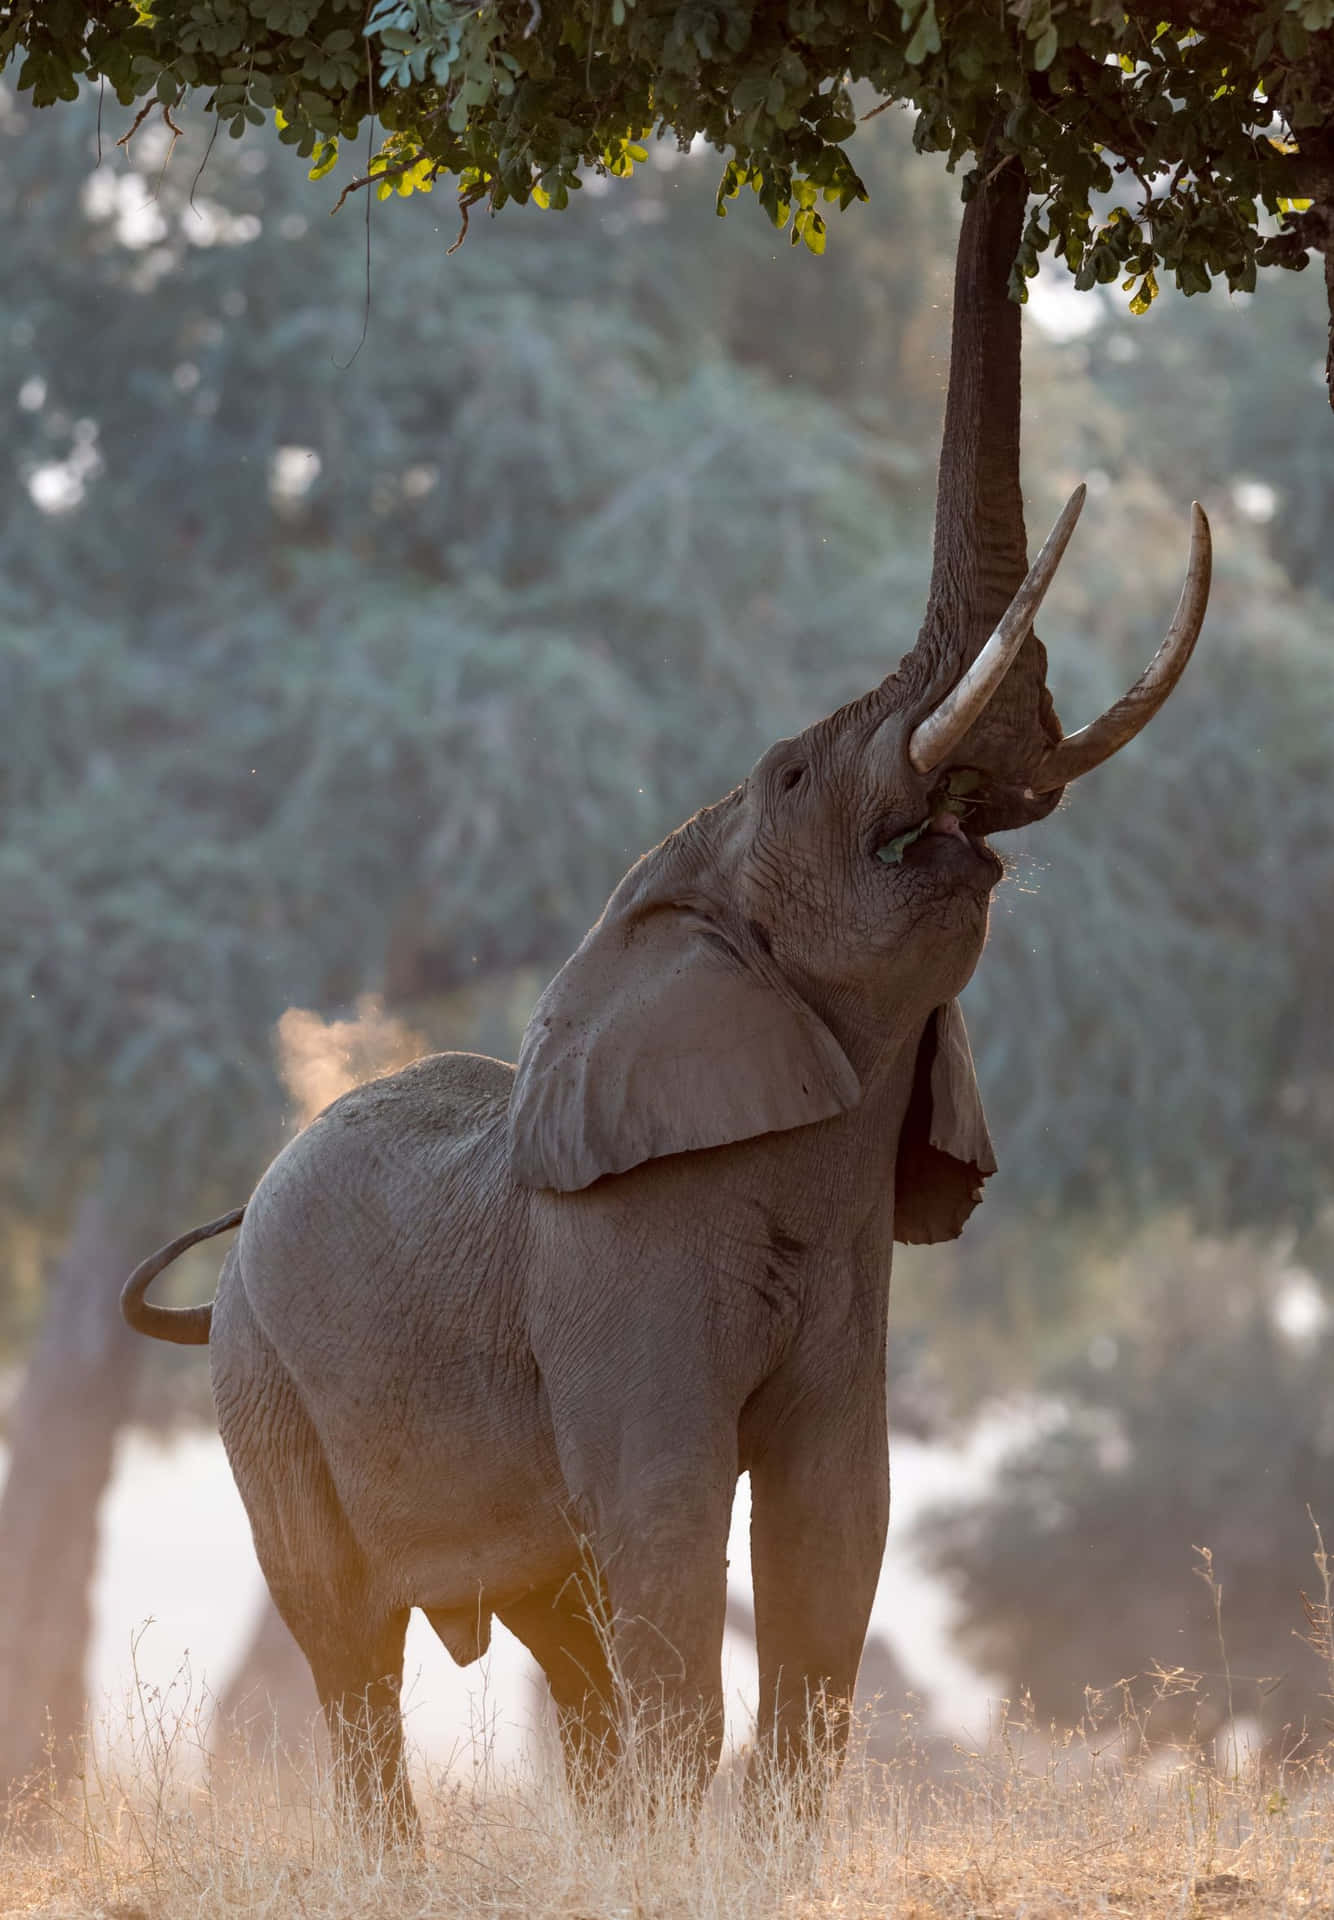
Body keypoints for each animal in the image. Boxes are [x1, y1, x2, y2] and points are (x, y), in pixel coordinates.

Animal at [121, 159, 1211, 1833]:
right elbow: (664, 1509)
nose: (993, 162)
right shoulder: (613, 1255)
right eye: (791, 780)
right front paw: (701, 1850)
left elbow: (836, 1512)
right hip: (264, 1390)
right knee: (347, 1636)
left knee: (549, 1622)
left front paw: (755, 1853)